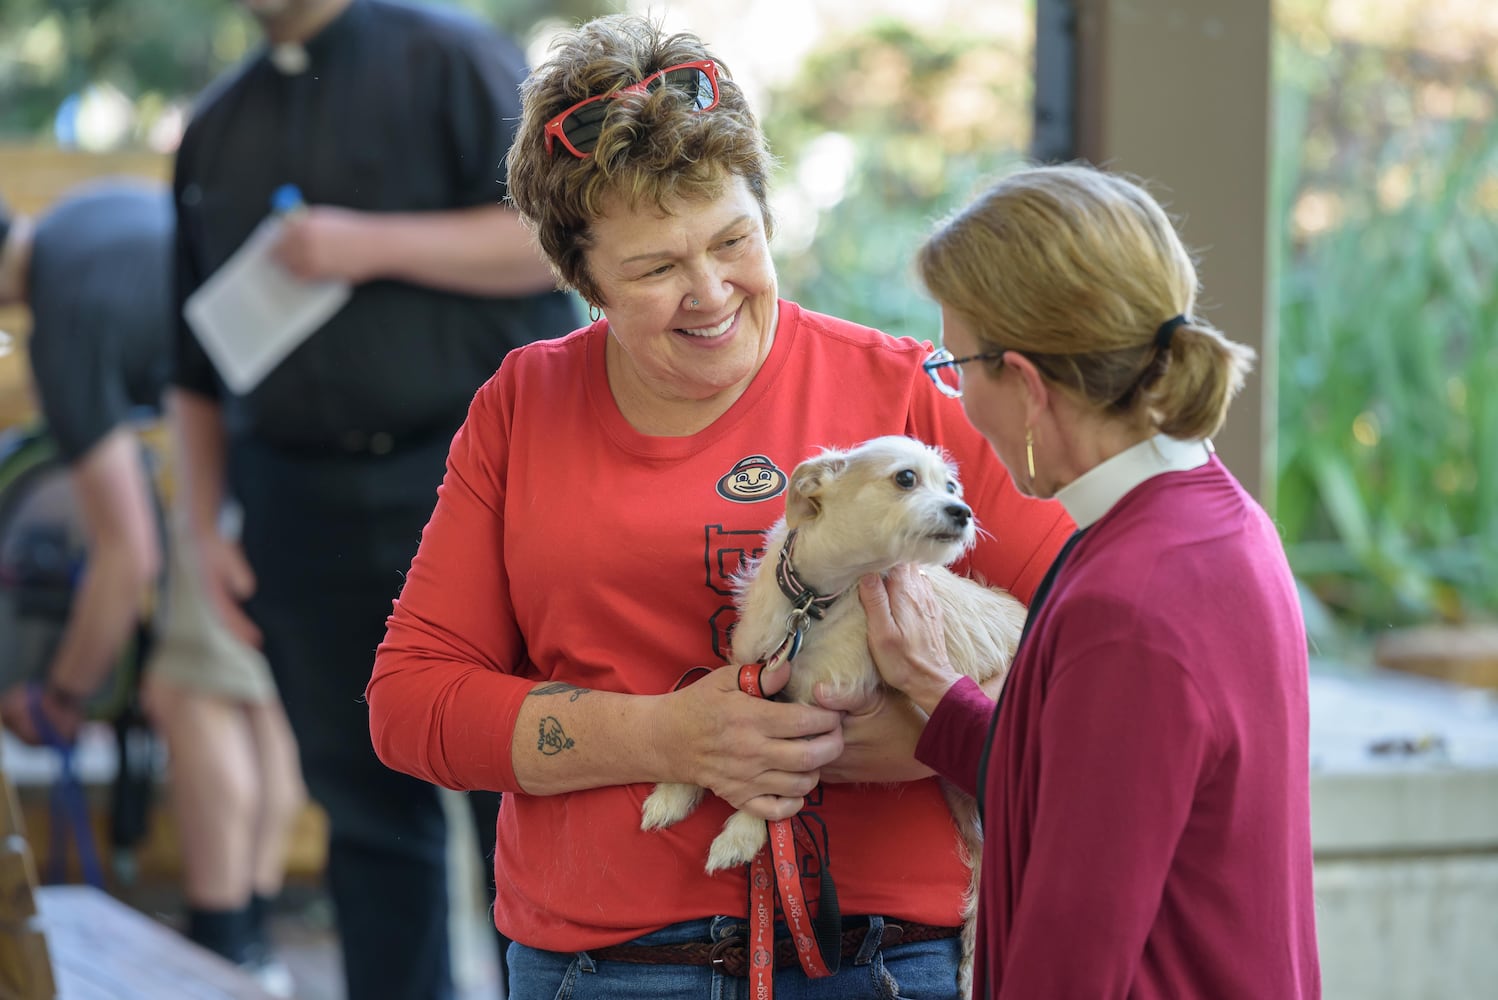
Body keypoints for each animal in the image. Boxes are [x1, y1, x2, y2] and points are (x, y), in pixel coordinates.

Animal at [638, 434, 1024, 994]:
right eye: (906, 478)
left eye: (952, 486)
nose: (963, 512)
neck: (812, 602)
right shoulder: (752, 673)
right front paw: (672, 794)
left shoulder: (820, 710)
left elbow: (778, 789)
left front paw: (741, 834)